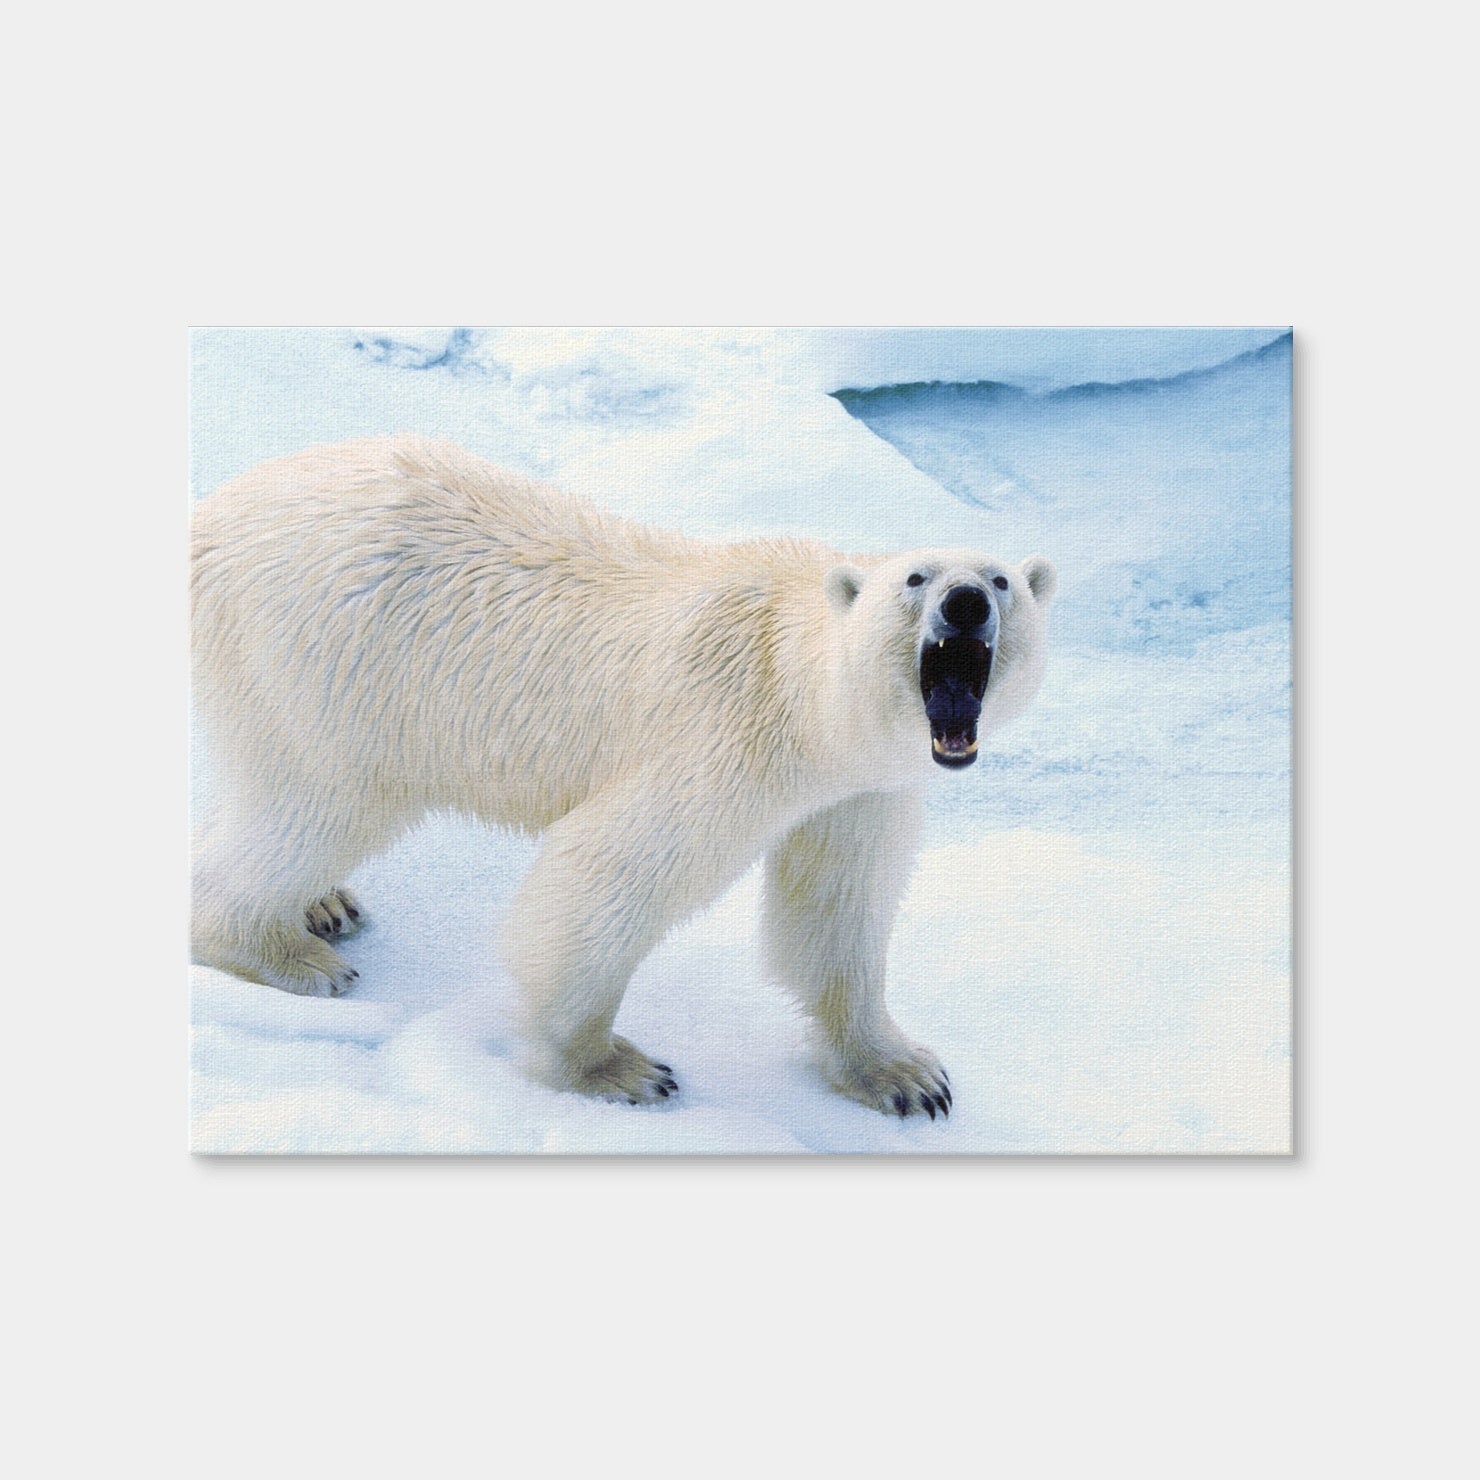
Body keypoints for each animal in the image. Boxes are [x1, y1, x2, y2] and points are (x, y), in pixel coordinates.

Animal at [191, 435, 1057, 1118]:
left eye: (1001, 579)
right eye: (915, 578)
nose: (966, 602)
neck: (802, 689)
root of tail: (213, 511)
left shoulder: (860, 789)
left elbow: (836, 910)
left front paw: (904, 1075)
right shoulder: (725, 741)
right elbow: (607, 875)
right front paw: (616, 1069)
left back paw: (324, 905)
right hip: (330, 660)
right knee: (320, 803)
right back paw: (285, 951)